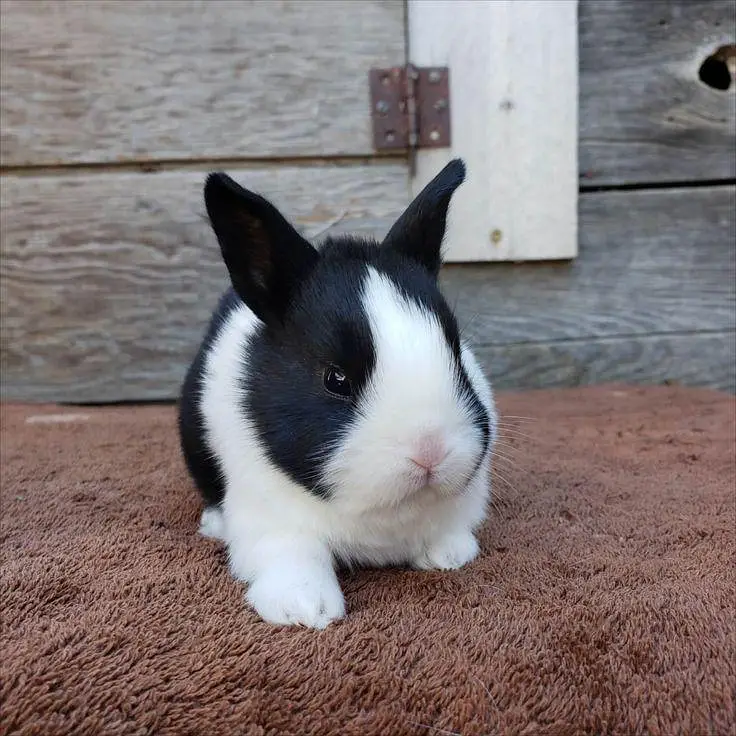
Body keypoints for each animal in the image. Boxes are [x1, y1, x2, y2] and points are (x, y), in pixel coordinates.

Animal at [177, 158, 498, 629]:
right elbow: (294, 556)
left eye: (457, 352)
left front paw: (449, 555)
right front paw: (304, 609)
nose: (431, 452)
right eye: (336, 379)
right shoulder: (271, 521)